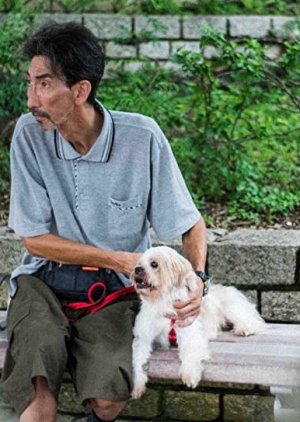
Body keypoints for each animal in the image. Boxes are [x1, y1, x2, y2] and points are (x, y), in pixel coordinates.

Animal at [131, 246, 264, 398]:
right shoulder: (143, 338)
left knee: (253, 321)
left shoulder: (189, 332)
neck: (163, 302)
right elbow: (137, 360)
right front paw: (137, 386)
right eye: (139, 263)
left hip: (232, 308)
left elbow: (190, 352)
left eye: (154, 264)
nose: (137, 269)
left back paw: (244, 328)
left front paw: (190, 375)